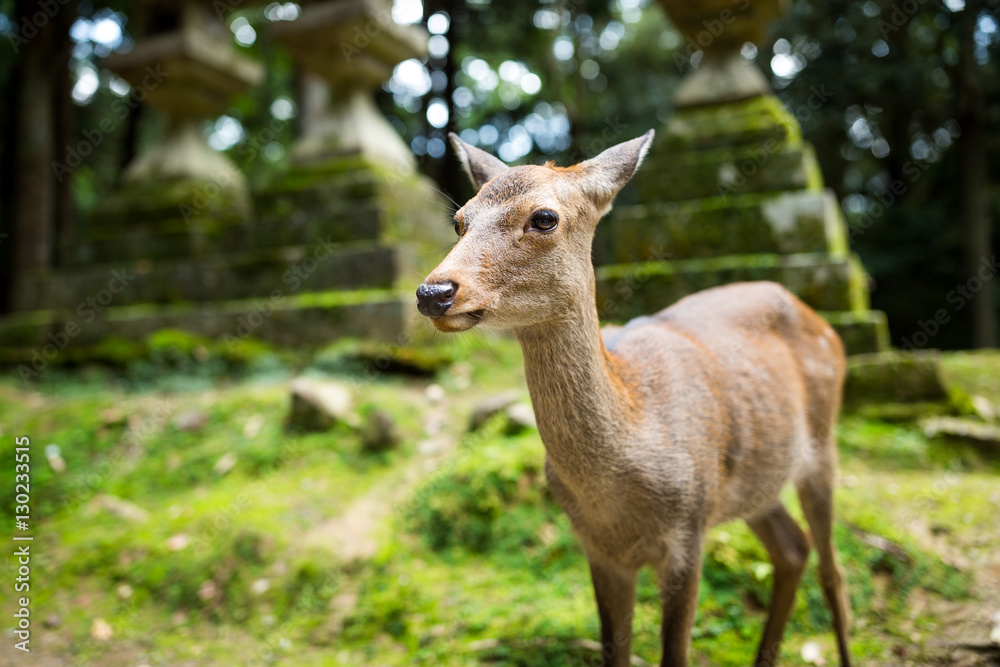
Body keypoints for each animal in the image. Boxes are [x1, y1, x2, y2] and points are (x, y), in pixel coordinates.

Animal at [415, 130, 852, 667]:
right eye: (460, 220)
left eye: (544, 217)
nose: (433, 292)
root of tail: (819, 320)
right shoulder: (600, 550)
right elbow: (613, 651)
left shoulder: (688, 532)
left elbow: (675, 654)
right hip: (755, 477)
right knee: (792, 549)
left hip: (823, 442)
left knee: (833, 570)